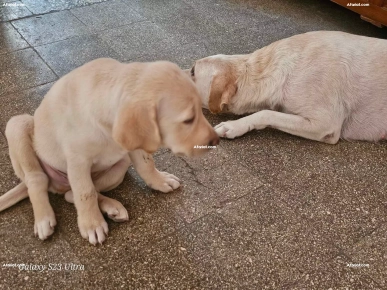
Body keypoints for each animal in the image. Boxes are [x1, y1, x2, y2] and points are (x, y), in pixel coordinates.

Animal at [0, 59, 220, 245]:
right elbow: (85, 193)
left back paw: (112, 207)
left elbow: (147, 164)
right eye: (188, 120)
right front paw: (92, 224)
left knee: (72, 194)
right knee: (37, 180)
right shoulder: (77, 161)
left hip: (120, 167)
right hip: (19, 125)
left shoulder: (134, 144)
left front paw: (160, 181)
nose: (215, 141)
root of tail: (57, 185)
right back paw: (44, 218)